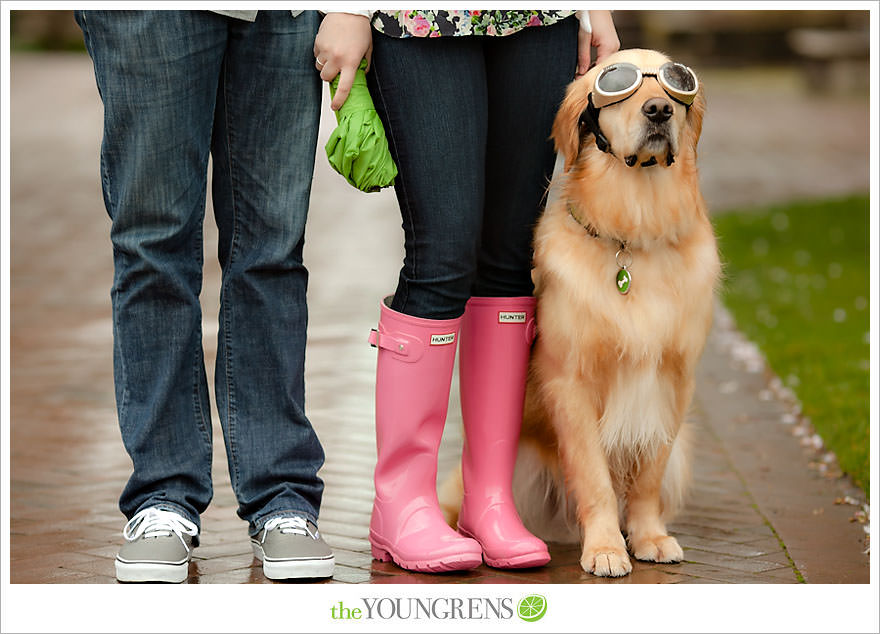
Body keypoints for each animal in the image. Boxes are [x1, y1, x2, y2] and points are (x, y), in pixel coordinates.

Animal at [440, 47, 720, 576]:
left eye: (675, 84)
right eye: (618, 84)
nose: (659, 111)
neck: (635, 231)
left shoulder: (676, 380)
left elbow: (648, 475)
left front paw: (649, 536)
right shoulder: (571, 381)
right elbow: (593, 477)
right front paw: (606, 547)